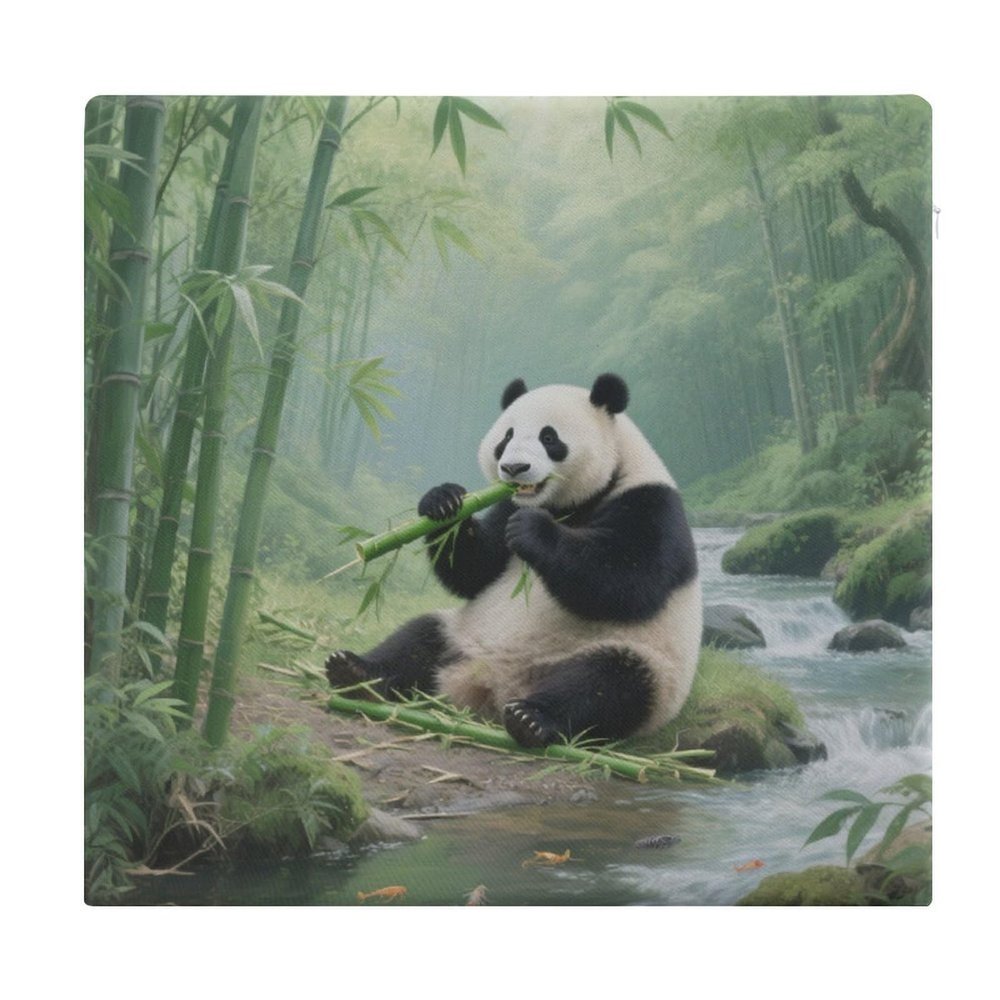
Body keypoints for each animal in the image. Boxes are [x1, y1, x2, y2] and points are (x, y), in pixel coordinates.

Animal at [325, 373, 702, 749]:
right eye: (506, 438)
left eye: (549, 438)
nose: (514, 468)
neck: (568, 505)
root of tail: (489, 687)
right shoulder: (506, 504)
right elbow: (477, 572)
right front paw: (443, 502)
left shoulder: (650, 504)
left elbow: (626, 582)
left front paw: (533, 530)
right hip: (462, 633)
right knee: (418, 638)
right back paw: (355, 672)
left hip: (643, 664)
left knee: (608, 683)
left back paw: (531, 718)